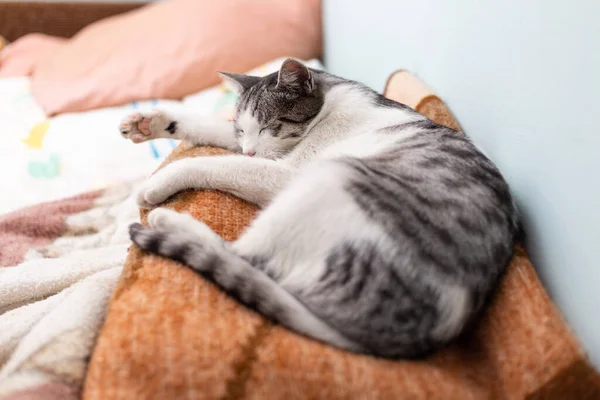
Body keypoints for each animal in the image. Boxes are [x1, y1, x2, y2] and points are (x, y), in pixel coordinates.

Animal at [119, 57, 516, 358]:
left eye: (272, 125)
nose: (250, 148)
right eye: (244, 129)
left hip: (334, 177)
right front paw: (151, 122)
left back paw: (168, 220)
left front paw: (156, 183)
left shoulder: (284, 172)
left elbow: (218, 164)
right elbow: (216, 134)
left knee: (242, 256)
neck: (329, 102)